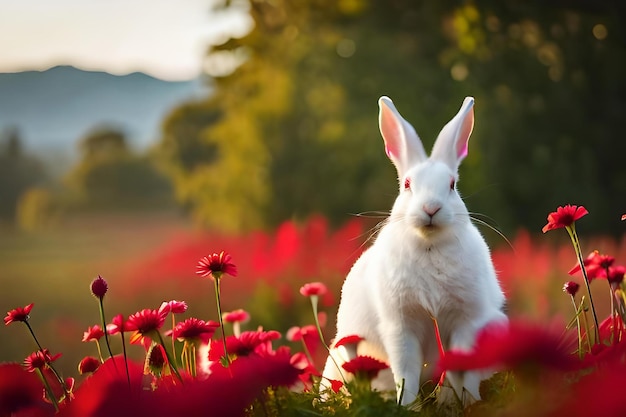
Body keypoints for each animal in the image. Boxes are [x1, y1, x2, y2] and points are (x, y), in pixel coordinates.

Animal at [320, 96, 504, 404]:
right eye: (407, 184)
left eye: (452, 185)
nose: (431, 208)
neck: (429, 245)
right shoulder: (400, 326)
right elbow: (406, 371)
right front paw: (406, 405)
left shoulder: (466, 321)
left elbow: (462, 369)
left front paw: (467, 402)